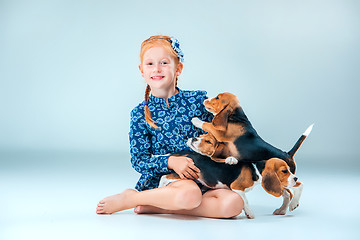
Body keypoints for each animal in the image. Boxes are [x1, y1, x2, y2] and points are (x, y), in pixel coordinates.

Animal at [159, 151, 302, 218]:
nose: (295, 178)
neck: (256, 169)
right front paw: (250, 213)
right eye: (284, 171)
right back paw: (160, 188)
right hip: (185, 173)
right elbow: (245, 201)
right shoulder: (237, 187)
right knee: (164, 177)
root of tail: (187, 153)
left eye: (289, 170)